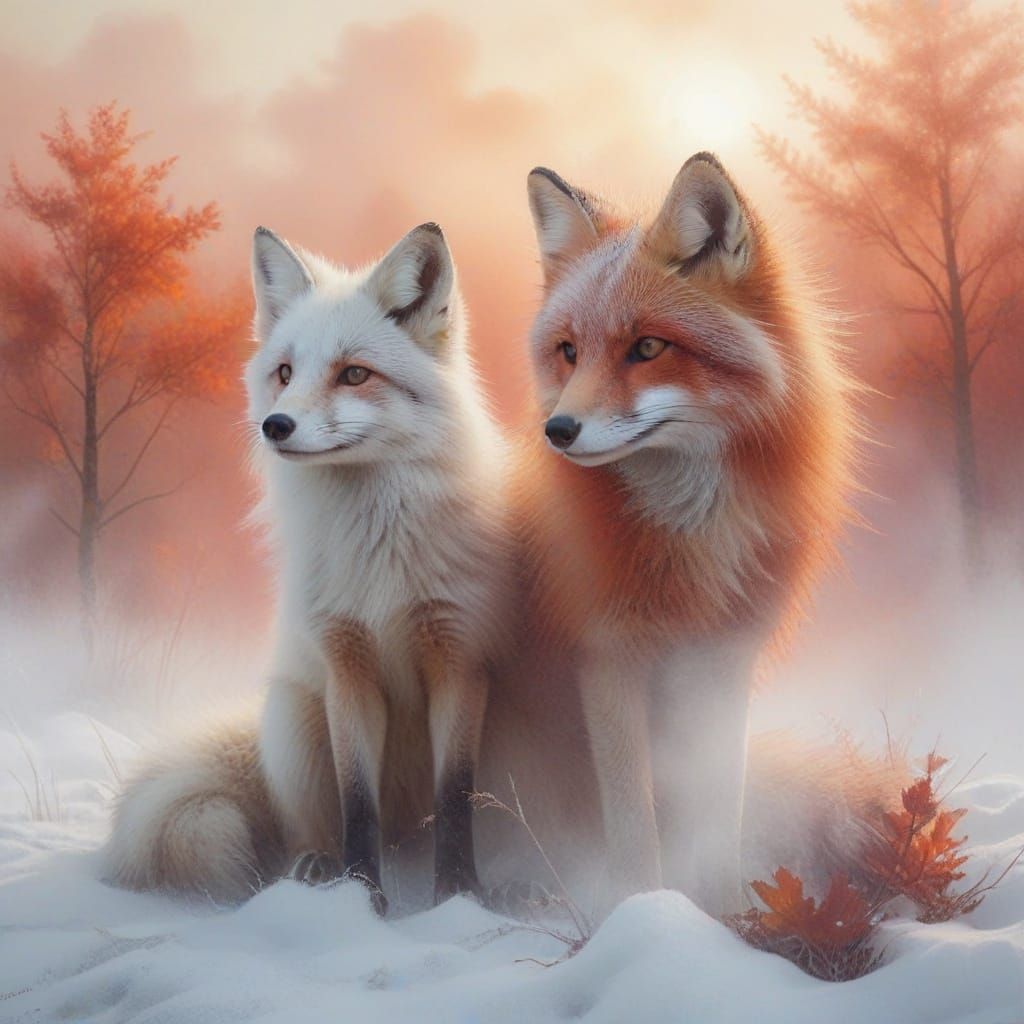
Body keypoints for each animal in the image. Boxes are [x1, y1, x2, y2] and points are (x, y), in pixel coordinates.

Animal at [103, 222, 511, 910]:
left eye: (354, 374)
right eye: (285, 372)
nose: (275, 424)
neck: (378, 556)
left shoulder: (460, 658)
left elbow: (455, 798)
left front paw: (459, 897)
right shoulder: (345, 665)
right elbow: (357, 805)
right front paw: (362, 897)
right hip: (293, 722)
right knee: (309, 826)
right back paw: (316, 866)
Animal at [508, 152, 857, 916]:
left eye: (647, 347)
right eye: (568, 352)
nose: (558, 431)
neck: (691, 541)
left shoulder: (724, 661)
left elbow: (719, 809)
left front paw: (725, 916)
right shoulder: (606, 657)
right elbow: (632, 822)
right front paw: (642, 916)